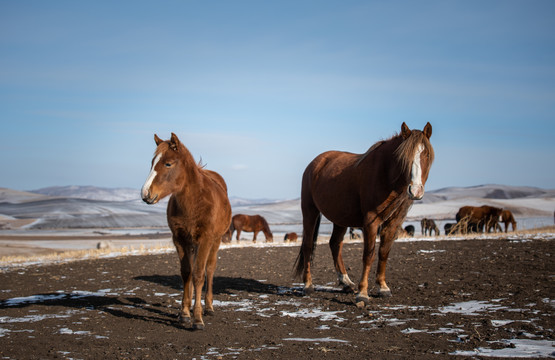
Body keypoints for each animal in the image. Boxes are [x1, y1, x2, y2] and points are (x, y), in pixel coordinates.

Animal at [143, 132, 232, 330]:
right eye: (152, 162)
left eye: (168, 163)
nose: (145, 194)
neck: (194, 201)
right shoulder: (179, 239)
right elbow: (186, 273)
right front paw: (184, 313)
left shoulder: (206, 239)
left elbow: (198, 274)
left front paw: (197, 319)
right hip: (192, 243)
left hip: (215, 241)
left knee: (209, 269)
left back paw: (209, 307)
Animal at [296, 121, 434, 304]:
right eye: (403, 158)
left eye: (426, 154)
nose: (416, 190)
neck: (386, 174)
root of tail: (314, 164)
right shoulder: (371, 221)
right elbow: (368, 255)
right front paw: (363, 293)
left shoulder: (393, 223)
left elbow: (383, 253)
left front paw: (383, 287)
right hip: (310, 210)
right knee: (308, 245)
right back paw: (308, 285)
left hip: (341, 218)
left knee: (335, 244)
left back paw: (346, 282)